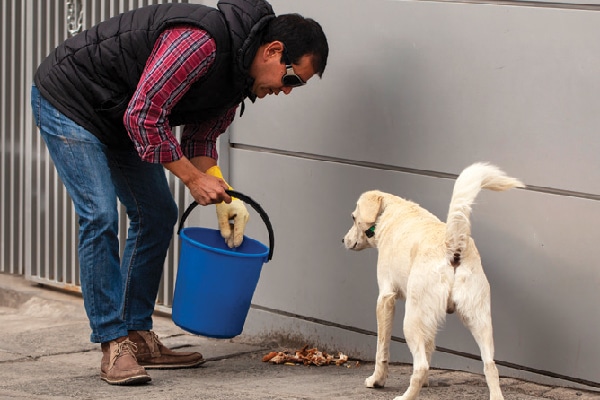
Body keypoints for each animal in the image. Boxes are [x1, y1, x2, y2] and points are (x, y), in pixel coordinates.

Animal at [344, 163, 524, 400]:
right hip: (479, 319)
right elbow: (430, 346)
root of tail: (452, 245)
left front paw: (377, 380)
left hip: (412, 320)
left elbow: (381, 348)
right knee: (490, 365)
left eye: (353, 218)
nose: (343, 240)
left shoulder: (385, 299)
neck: (390, 212)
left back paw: (406, 396)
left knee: (420, 366)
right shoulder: (429, 320)